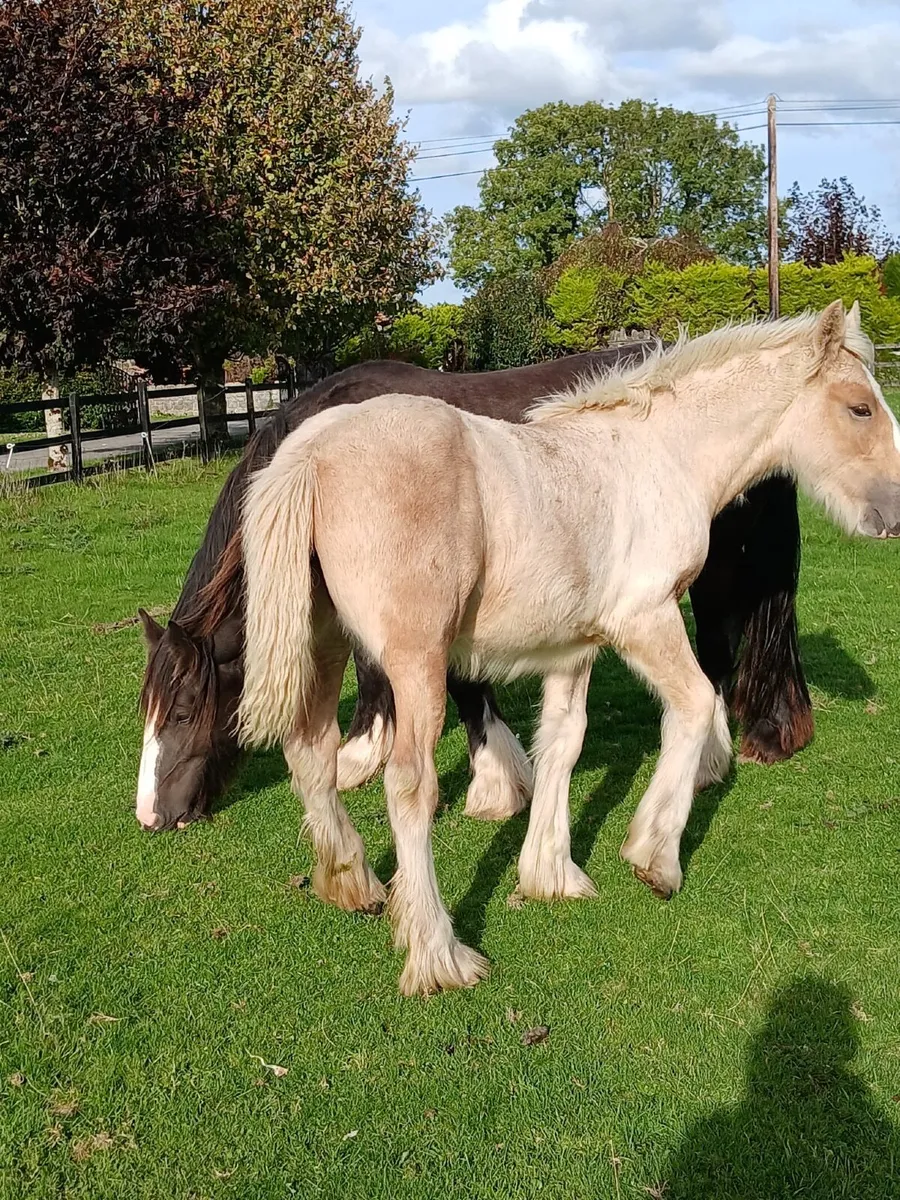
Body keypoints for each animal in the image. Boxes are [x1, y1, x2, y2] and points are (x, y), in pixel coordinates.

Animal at [136, 347, 809, 833]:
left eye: (184, 710)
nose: (151, 816)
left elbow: (441, 680)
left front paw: (483, 779)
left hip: (710, 576)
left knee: (717, 652)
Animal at [235, 302, 900, 995]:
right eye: (860, 408)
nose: (894, 513)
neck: (661, 457)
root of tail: (309, 452)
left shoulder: (574, 646)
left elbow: (562, 742)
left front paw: (551, 874)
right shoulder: (645, 618)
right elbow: (690, 708)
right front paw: (654, 857)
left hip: (324, 642)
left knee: (311, 752)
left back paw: (351, 884)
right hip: (415, 661)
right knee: (408, 784)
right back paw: (440, 955)